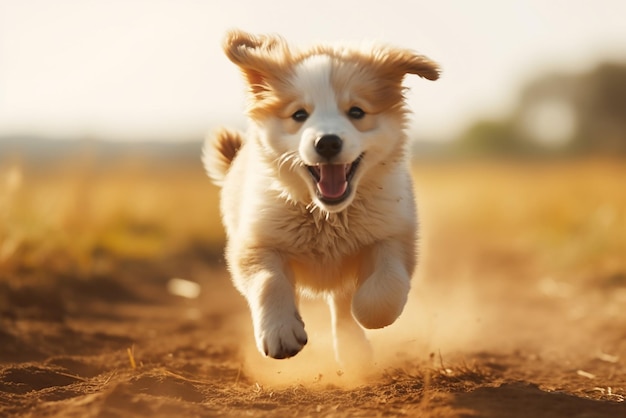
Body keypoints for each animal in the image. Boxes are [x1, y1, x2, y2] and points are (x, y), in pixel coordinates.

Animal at [202, 29, 436, 364]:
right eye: (299, 114)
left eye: (356, 112)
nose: (327, 142)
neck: (326, 215)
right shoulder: (254, 241)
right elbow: (269, 281)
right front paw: (280, 331)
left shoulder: (393, 234)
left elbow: (386, 285)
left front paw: (367, 314)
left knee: (341, 299)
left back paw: (353, 348)